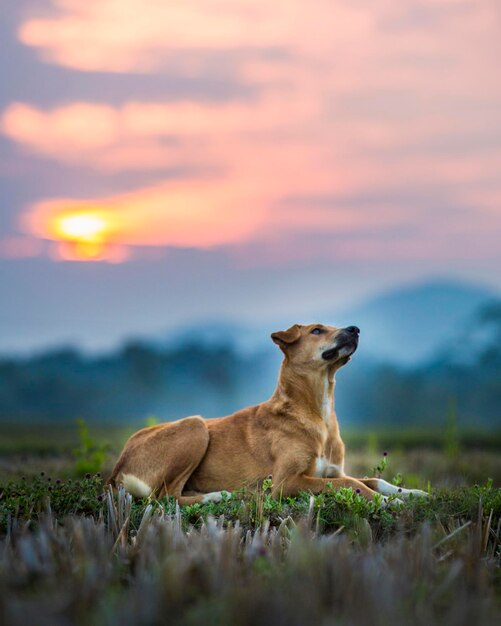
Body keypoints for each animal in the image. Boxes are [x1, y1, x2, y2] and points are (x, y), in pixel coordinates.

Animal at [107, 322, 424, 502]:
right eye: (316, 330)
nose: (355, 329)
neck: (318, 412)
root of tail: (116, 467)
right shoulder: (287, 482)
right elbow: (351, 484)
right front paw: (389, 503)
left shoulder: (331, 472)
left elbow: (371, 480)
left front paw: (412, 493)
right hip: (194, 426)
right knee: (164, 497)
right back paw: (216, 496)